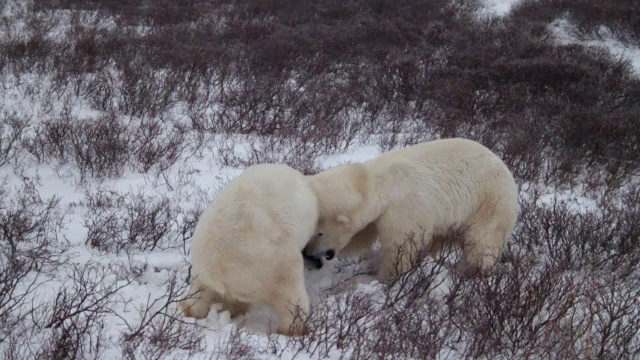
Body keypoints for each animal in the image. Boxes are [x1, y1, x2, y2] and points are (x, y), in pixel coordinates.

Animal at [179, 165, 318, 336]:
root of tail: (219, 269)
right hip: (268, 261)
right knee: (290, 289)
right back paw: (298, 328)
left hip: (203, 270)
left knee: (201, 292)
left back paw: (194, 310)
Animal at [302, 138, 516, 282]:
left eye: (319, 233)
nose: (308, 253)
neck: (381, 181)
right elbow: (361, 237)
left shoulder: (405, 205)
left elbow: (401, 247)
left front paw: (383, 279)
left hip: (489, 204)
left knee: (482, 244)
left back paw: (473, 273)